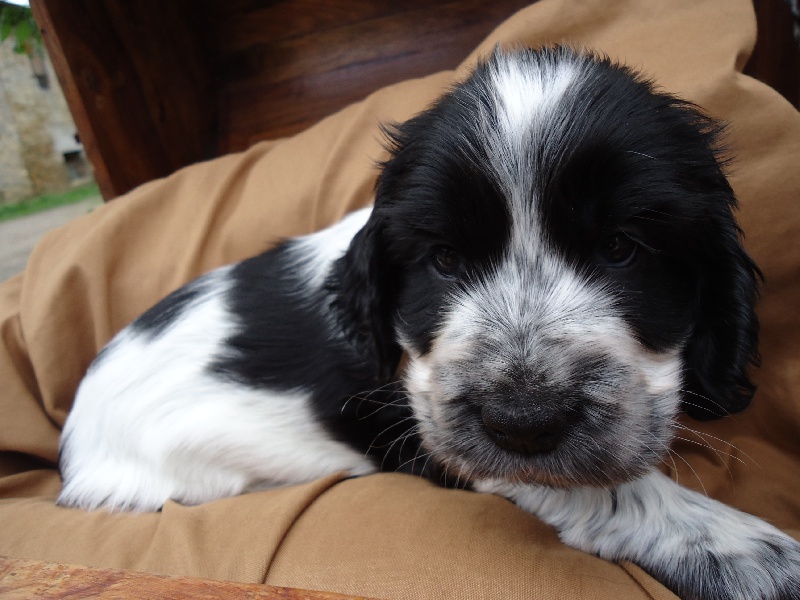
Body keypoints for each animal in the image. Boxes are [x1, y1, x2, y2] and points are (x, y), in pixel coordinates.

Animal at [59, 48, 796, 600]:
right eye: (443, 259)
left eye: (621, 248)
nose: (523, 421)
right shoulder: (421, 430)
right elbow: (604, 490)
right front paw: (746, 550)